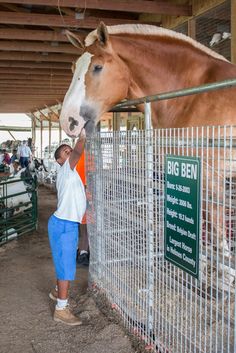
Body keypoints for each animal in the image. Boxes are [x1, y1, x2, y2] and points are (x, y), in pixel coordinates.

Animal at [59, 22, 236, 288]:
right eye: (72, 68)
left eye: (98, 67)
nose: (67, 120)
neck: (194, 94)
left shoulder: (210, 173)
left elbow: (214, 223)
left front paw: (224, 276)